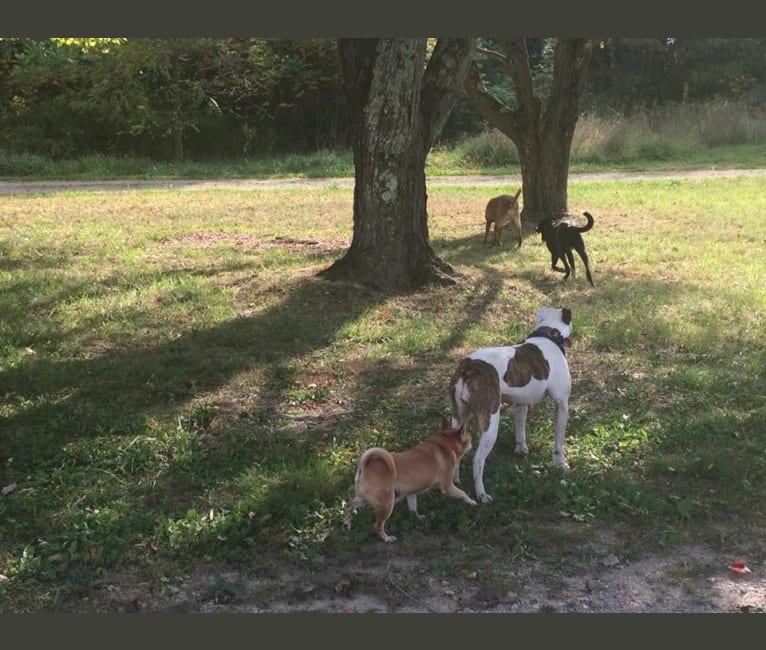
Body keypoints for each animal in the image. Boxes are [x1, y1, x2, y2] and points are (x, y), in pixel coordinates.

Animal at [343, 417, 477, 543]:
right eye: (469, 437)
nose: (472, 442)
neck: (446, 443)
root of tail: (365, 466)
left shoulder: (411, 493)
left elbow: (413, 509)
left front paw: (418, 518)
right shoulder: (448, 486)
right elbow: (463, 494)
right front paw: (472, 502)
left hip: (364, 498)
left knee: (348, 505)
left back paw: (347, 524)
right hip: (387, 504)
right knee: (377, 526)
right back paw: (387, 539)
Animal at [448, 307, 573, 504]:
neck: (548, 334)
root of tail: (468, 367)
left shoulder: (521, 404)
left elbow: (520, 429)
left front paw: (521, 450)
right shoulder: (561, 406)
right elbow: (559, 443)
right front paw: (561, 465)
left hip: (458, 417)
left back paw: (455, 482)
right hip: (490, 422)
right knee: (478, 461)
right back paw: (482, 494)